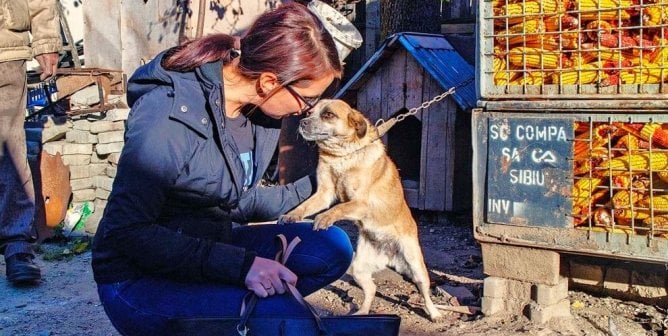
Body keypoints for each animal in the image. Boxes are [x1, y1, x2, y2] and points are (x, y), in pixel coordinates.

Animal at [278, 99, 444, 320]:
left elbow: (340, 207)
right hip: (358, 269)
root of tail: (389, 253)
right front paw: (291, 216)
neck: (341, 156)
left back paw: (434, 313)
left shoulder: (360, 202)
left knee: (424, 291)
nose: (302, 122)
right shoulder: (323, 194)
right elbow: (304, 206)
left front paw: (323, 218)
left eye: (328, 115)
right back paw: (363, 312)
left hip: (416, 267)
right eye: (309, 113)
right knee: (372, 289)